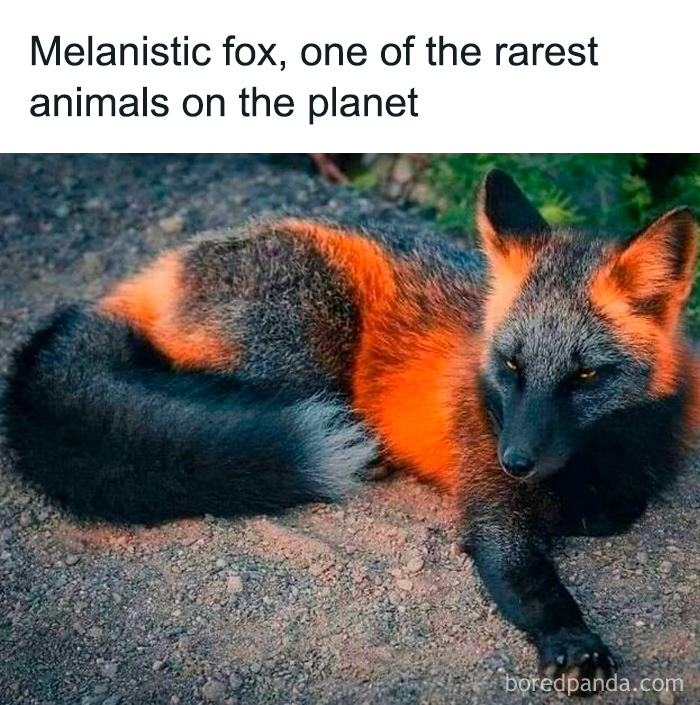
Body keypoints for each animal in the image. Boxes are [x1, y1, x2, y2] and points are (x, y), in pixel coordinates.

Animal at [3, 169, 699, 695]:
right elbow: (530, 579)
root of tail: (167, 263)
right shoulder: (490, 502)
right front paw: (570, 639)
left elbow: (621, 505)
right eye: (510, 366)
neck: (594, 459)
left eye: (585, 375)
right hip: (308, 339)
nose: (516, 461)